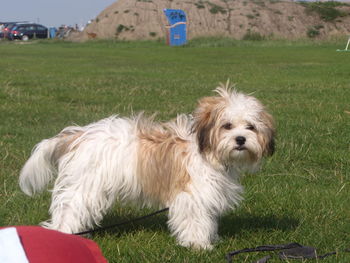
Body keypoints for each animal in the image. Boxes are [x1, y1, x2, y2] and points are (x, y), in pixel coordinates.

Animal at [19, 82, 276, 250]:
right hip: (85, 187)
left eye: (251, 127)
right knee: (68, 210)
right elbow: (194, 219)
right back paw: (66, 235)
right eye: (227, 126)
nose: (240, 139)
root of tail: (78, 135)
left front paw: (210, 239)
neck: (208, 152)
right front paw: (198, 245)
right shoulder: (191, 195)